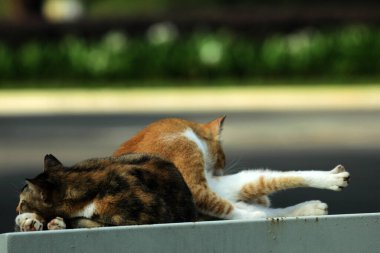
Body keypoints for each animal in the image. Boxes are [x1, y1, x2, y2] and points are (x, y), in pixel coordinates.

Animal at [15, 152, 199, 231]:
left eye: (22, 203)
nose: (17, 209)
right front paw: (30, 220)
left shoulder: (150, 216)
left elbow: (83, 221)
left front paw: (57, 222)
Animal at [114, 116, 352, 219]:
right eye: (223, 157)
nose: (220, 169)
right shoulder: (195, 178)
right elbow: (272, 180)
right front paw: (331, 178)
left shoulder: (213, 183)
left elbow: (262, 180)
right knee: (247, 211)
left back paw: (308, 208)